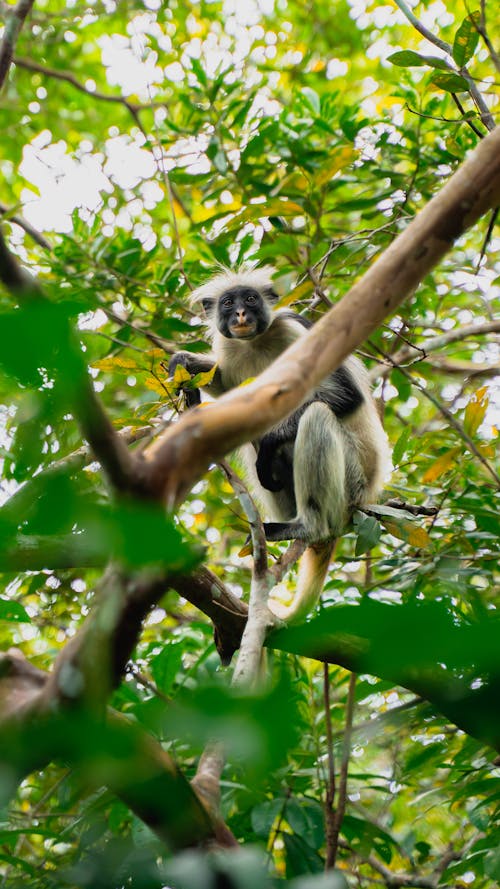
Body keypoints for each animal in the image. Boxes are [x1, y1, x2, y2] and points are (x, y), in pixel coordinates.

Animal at [168, 268, 390, 620]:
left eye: (251, 299)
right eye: (228, 303)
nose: (240, 314)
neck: (255, 343)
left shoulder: (291, 330)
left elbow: (346, 395)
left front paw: (271, 441)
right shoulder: (230, 347)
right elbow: (229, 387)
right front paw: (184, 363)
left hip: (352, 483)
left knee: (315, 415)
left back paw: (308, 526)